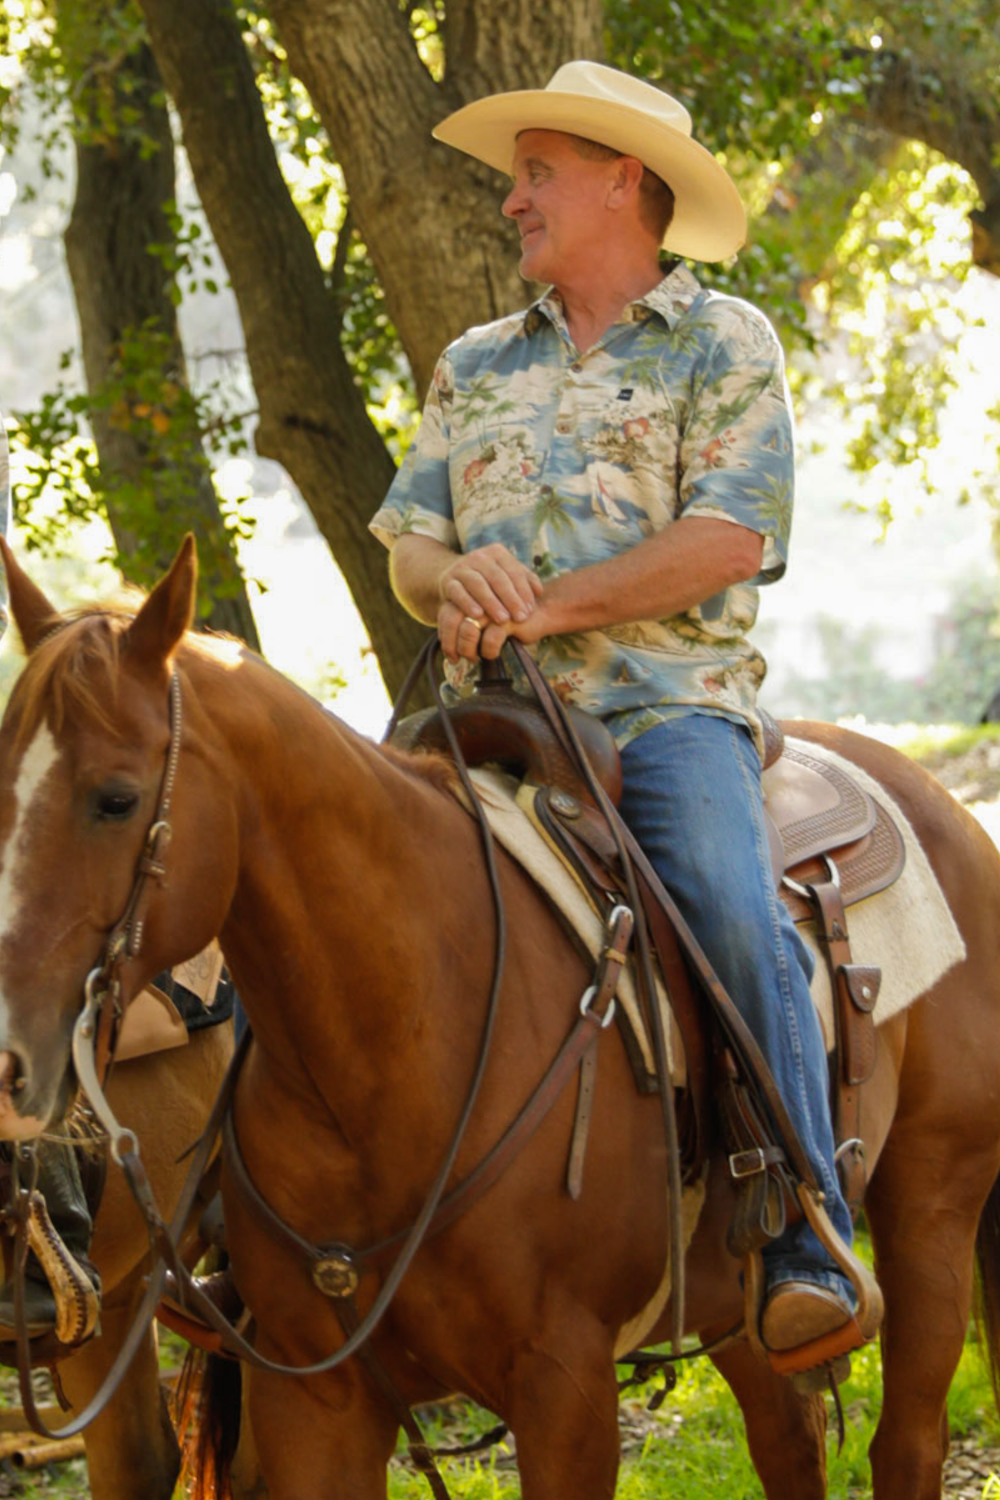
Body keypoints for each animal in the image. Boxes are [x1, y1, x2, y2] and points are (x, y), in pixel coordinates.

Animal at [1, 534, 1000, 1494]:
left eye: (117, 799)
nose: (10, 1063)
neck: (390, 1054)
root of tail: (944, 806)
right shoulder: (316, 1402)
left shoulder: (565, 1389)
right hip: (736, 1304)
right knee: (790, 1442)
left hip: (931, 1210)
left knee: (905, 1443)